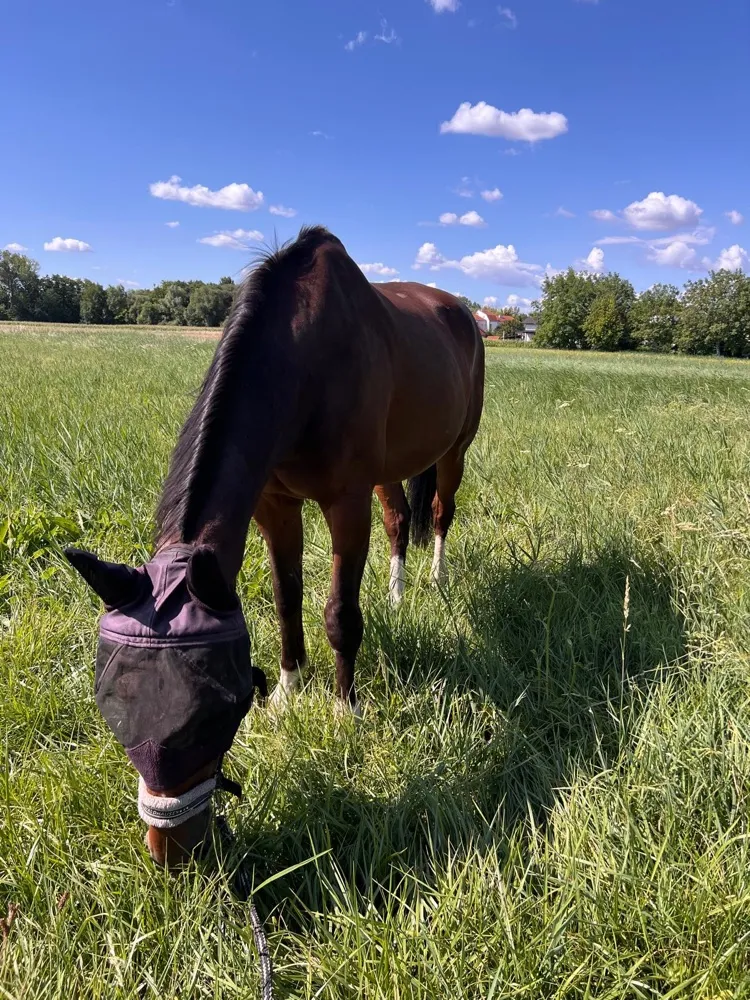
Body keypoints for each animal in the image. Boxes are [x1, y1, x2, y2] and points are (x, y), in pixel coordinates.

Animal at [65, 226, 484, 867]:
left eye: (215, 713)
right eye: (110, 703)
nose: (170, 850)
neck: (305, 359)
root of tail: (460, 311)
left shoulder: (346, 503)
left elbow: (339, 614)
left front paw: (344, 712)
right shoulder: (274, 505)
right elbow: (288, 599)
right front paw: (289, 691)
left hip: (456, 449)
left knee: (439, 513)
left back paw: (434, 580)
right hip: (391, 470)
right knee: (398, 521)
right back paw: (397, 592)